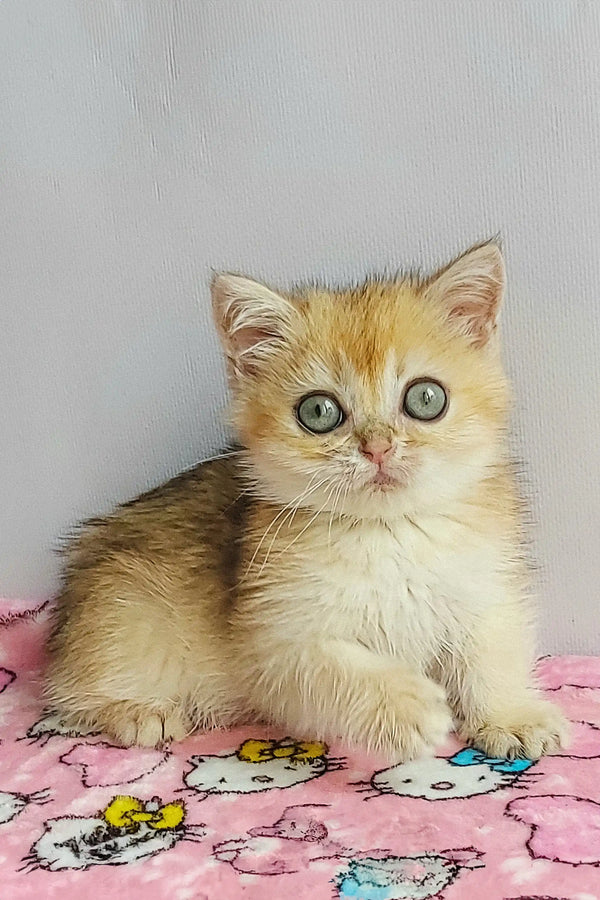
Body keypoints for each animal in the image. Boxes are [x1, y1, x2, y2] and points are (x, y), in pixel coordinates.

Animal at [45, 244, 568, 760]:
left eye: (425, 398)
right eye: (318, 411)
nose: (377, 447)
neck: (389, 531)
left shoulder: (486, 587)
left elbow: (491, 652)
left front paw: (511, 715)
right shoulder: (268, 636)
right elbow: (330, 667)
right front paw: (405, 705)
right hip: (118, 609)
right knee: (70, 694)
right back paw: (136, 711)